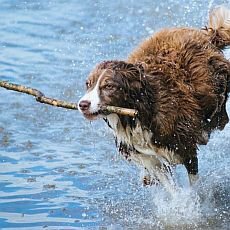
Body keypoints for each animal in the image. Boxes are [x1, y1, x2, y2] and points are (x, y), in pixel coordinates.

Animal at [77, 6, 230, 191]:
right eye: (88, 84)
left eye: (109, 86)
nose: (83, 104)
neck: (139, 111)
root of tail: (208, 36)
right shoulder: (148, 156)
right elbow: (170, 187)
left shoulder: (185, 146)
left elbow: (193, 184)